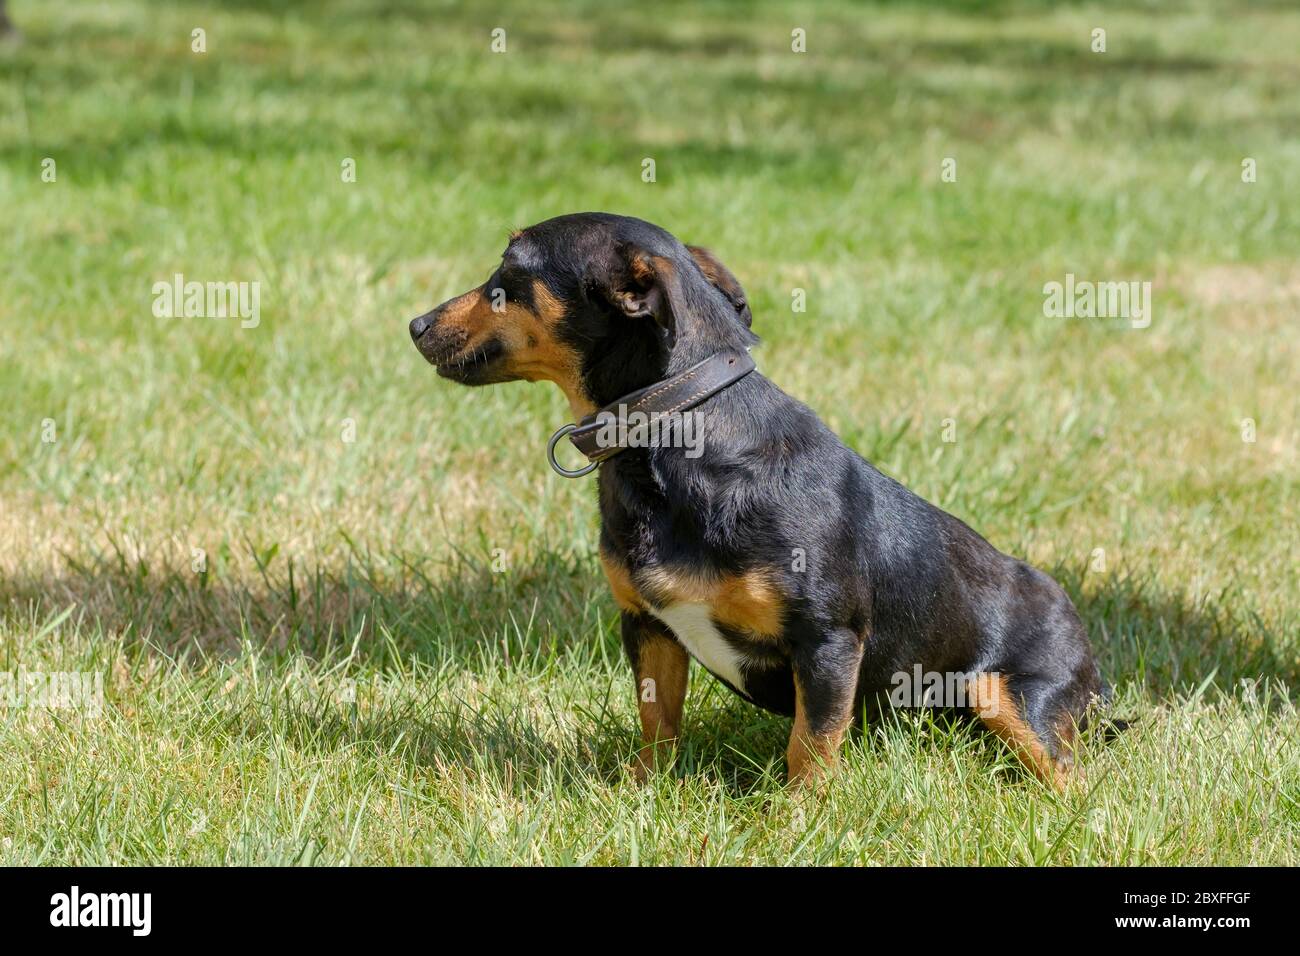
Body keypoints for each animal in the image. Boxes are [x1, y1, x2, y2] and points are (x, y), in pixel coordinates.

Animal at [410, 213, 1112, 790]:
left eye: (509, 273)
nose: (415, 325)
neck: (680, 430)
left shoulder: (828, 640)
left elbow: (811, 746)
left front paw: (798, 819)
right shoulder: (647, 625)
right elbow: (657, 721)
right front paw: (642, 792)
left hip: (1006, 697)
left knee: (1070, 776)